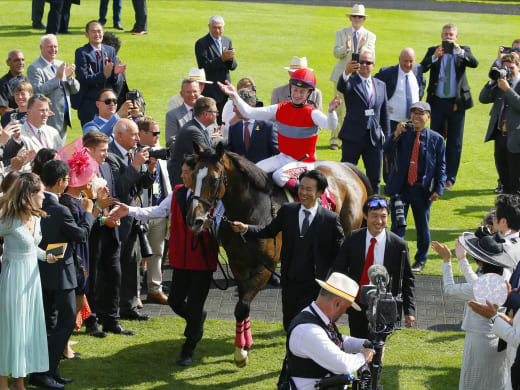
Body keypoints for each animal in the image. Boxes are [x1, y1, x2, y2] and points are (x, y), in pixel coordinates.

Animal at [185, 142, 372, 366]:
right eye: (192, 176)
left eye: (213, 179)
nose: (194, 220)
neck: (252, 210)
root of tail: (345, 166)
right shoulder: (238, 264)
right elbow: (242, 304)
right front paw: (245, 342)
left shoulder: (265, 267)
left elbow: (242, 306)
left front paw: (240, 355)